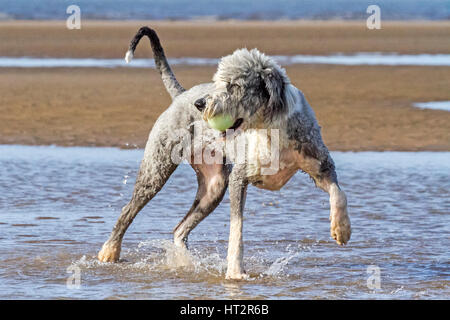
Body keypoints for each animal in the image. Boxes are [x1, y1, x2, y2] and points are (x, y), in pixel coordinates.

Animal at [98, 26, 352, 278]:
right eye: (218, 82)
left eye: (235, 85)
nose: (200, 104)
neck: (269, 128)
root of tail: (181, 95)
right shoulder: (240, 177)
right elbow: (236, 229)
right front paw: (235, 272)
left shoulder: (320, 165)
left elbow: (338, 192)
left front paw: (342, 229)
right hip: (156, 169)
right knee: (127, 211)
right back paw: (109, 252)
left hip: (214, 187)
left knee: (179, 229)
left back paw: (186, 261)